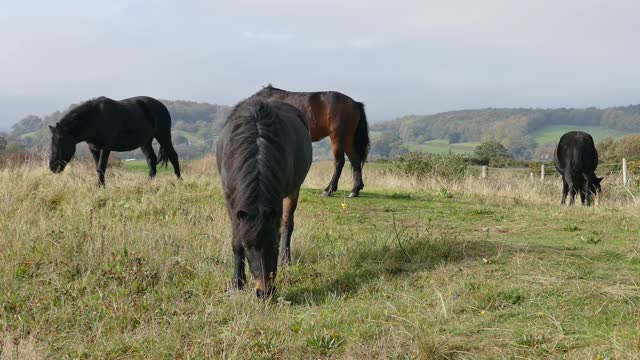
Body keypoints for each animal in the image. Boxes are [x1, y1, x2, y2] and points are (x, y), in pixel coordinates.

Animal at [48, 95, 180, 186]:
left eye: (60, 141)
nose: (53, 167)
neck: (95, 119)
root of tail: (162, 106)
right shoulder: (93, 149)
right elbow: (98, 167)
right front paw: (101, 186)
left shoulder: (106, 148)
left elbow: (101, 167)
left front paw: (100, 186)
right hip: (145, 142)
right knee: (151, 160)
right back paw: (148, 183)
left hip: (163, 135)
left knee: (173, 156)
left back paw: (179, 180)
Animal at [218, 97, 312, 298]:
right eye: (247, 246)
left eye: (274, 243)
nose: (264, 292)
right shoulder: (231, 202)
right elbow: (235, 241)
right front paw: (238, 282)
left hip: (294, 190)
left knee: (288, 223)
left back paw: (286, 259)